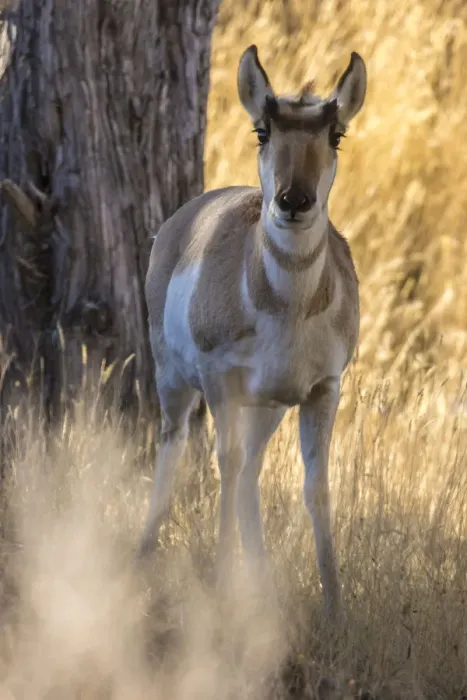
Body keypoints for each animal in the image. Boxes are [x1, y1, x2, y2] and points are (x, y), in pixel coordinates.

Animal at [138, 45, 366, 621]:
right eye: (262, 130)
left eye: (336, 134)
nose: (293, 200)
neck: (285, 307)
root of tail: (185, 216)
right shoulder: (222, 380)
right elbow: (225, 462)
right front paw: (220, 585)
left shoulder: (321, 390)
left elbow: (317, 487)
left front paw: (335, 608)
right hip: (176, 380)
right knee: (176, 447)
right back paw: (142, 556)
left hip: (269, 407)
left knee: (249, 476)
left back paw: (259, 585)